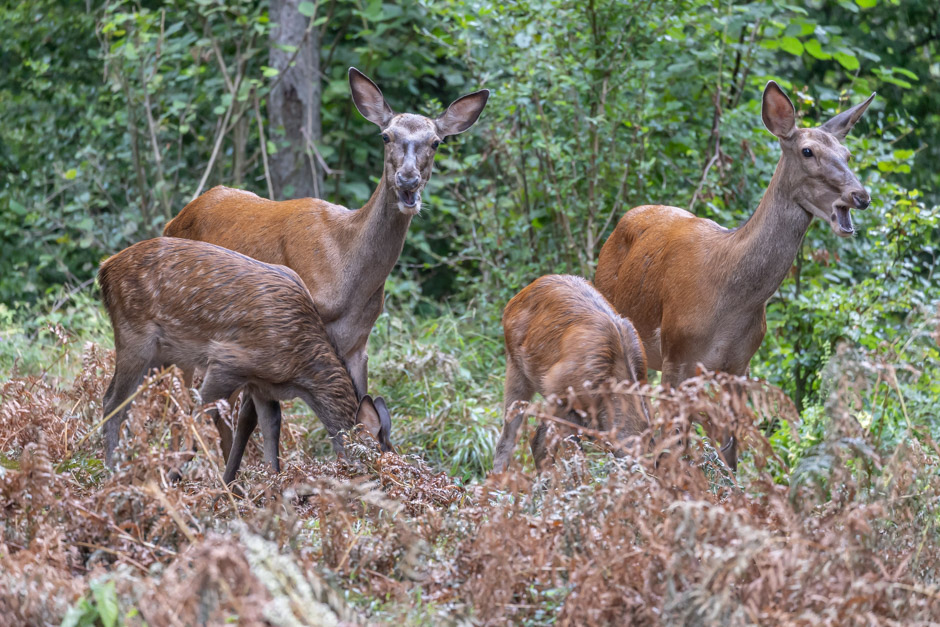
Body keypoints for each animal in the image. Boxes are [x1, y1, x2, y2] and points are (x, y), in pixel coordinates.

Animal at [101, 238, 394, 484]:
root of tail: (105, 269)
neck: (298, 370)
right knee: (113, 402)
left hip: (161, 354)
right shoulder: (227, 360)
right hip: (134, 336)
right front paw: (174, 480)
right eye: (375, 467)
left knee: (123, 401)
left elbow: (271, 431)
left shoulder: (262, 384)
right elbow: (199, 422)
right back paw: (113, 471)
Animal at [596, 79, 872, 472]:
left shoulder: (739, 364)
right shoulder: (677, 352)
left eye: (847, 154)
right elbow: (672, 445)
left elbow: (730, 449)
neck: (730, 296)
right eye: (807, 151)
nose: (860, 195)